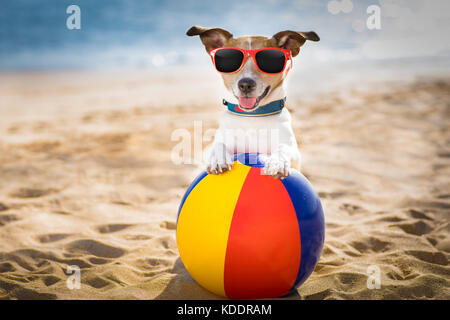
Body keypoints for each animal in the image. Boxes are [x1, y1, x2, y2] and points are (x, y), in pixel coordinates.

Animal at [186, 25, 320, 179]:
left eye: (270, 61)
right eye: (229, 60)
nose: (245, 84)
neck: (252, 116)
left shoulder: (294, 152)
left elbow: (284, 147)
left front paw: (278, 162)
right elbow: (218, 145)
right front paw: (218, 158)